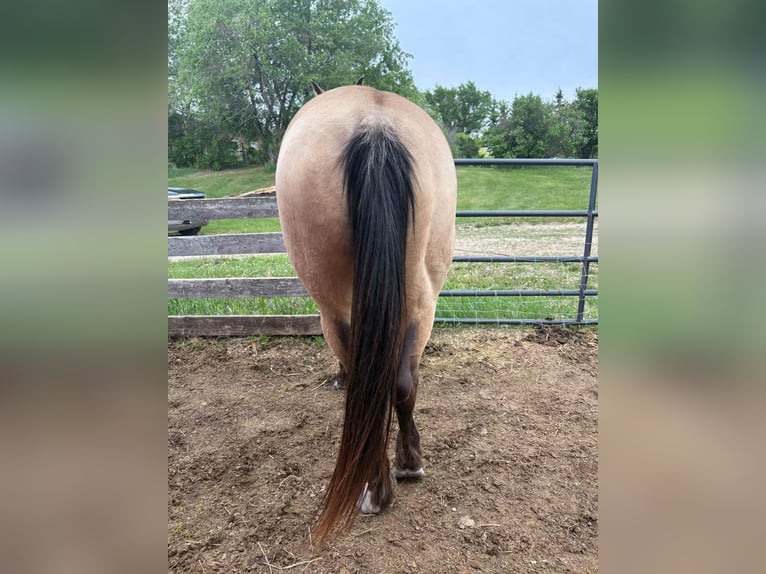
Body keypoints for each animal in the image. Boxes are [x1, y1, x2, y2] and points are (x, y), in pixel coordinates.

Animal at [275, 84, 457, 543]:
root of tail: (374, 127)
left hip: (337, 307)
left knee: (370, 379)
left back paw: (377, 487)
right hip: (422, 299)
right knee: (401, 383)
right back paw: (407, 466)